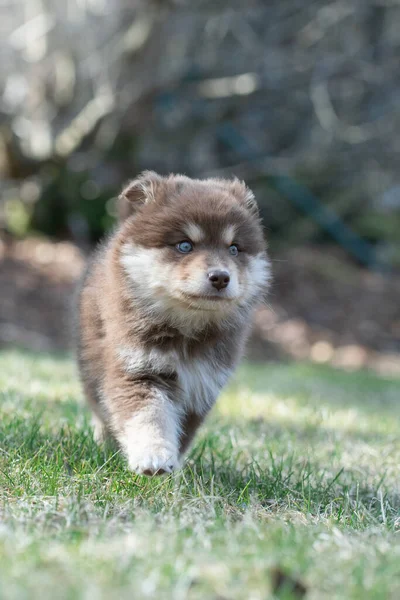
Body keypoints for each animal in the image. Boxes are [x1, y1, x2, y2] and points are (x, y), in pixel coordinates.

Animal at [77, 171, 272, 476]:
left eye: (234, 249)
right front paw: (153, 456)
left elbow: (182, 432)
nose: (220, 277)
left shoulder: (202, 384)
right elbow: (150, 415)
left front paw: (173, 465)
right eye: (184, 245)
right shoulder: (136, 367)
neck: (186, 330)